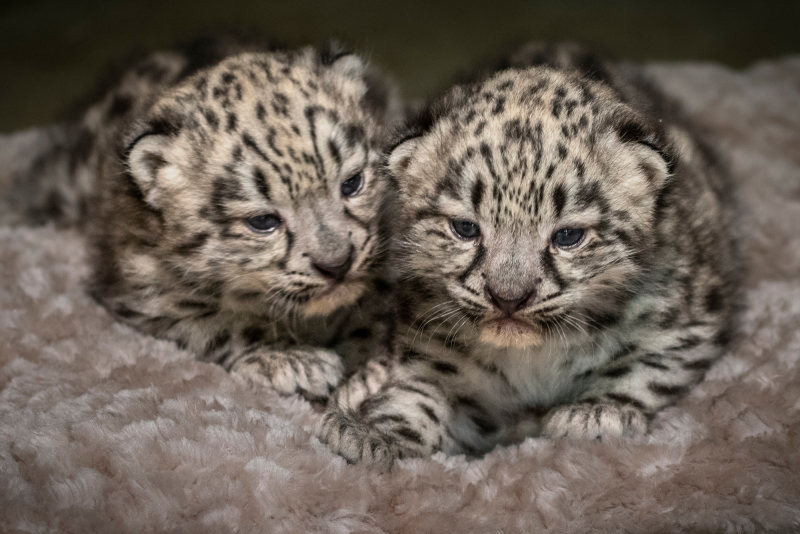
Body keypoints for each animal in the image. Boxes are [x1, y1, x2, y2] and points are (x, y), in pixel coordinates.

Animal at [0, 36, 403, 400]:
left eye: (352, 183)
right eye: (263, 221)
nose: (337, 264)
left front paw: (367, 364)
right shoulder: (144, 296)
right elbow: (223, 325)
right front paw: (293, 360)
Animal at [316, 42, 740, 470]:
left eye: (568, 236)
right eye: (465, 228)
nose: (508, 298)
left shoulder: (684, 325)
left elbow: (645, 370)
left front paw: (596, 413)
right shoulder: (433, 351)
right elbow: (416, 399)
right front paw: (369, 435)